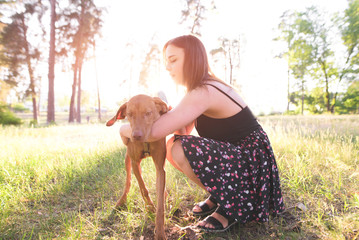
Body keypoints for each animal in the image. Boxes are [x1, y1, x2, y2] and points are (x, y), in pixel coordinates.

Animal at [107, 94, 169, 240]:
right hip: (127, 161)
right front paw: (150, 207)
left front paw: (160, 232)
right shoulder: (135, 162)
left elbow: (160, 204)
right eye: (130, 114)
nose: (136, 136)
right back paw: (121, 201)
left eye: (148, 113)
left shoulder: (160, 168)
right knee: (128, 182)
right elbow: (143, 189)